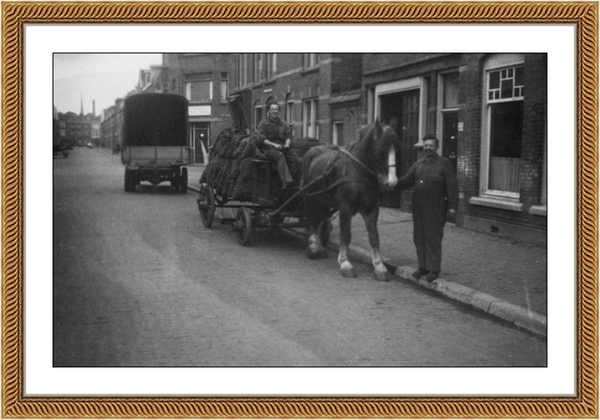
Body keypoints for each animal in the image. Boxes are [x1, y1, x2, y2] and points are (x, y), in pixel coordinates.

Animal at [302, 121, 400, 282]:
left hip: (323, 201)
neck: (359, 171)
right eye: (380, 150)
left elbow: (374, 237)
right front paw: (345, 263)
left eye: (396, 149)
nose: (391, 183)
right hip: (311, 197)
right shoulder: (345, 207)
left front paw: (379, 267)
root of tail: (311, 151)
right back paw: (313, 248)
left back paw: (318, 247)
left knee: (317, 220)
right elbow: (345, 234)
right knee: (311, 219)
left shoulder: (371, 208)